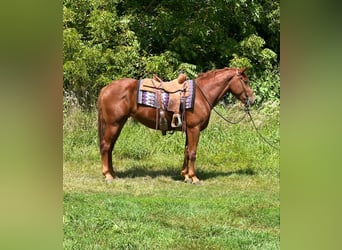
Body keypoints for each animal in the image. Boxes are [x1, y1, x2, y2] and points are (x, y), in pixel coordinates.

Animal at [97, 67, 255, 185]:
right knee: (106, 146)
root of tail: (106, 89)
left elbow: (186, 151)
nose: (252, 100)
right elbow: (193, 153)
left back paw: (113, 174)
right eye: (245, 81)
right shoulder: (194, 129)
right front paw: (194, 178)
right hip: (113, 124)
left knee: (110, 148)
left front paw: (185, 176)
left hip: (118, 124)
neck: (201, 95)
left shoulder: (189, 130)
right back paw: (107, 175)